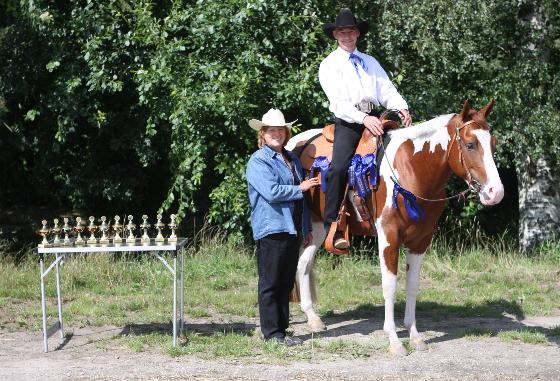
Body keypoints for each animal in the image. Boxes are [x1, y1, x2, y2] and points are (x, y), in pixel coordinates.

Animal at [286, 99, 506, 354]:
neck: (411, 169)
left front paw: (415, 336)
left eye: (493, 144)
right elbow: (389, 286)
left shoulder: (421, 241)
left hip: (319, 225)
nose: (495, 192)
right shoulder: (389, 237)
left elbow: (412, 285)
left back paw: (313, 318)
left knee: (303, 263)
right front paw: (394, 340)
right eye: (470, 145)